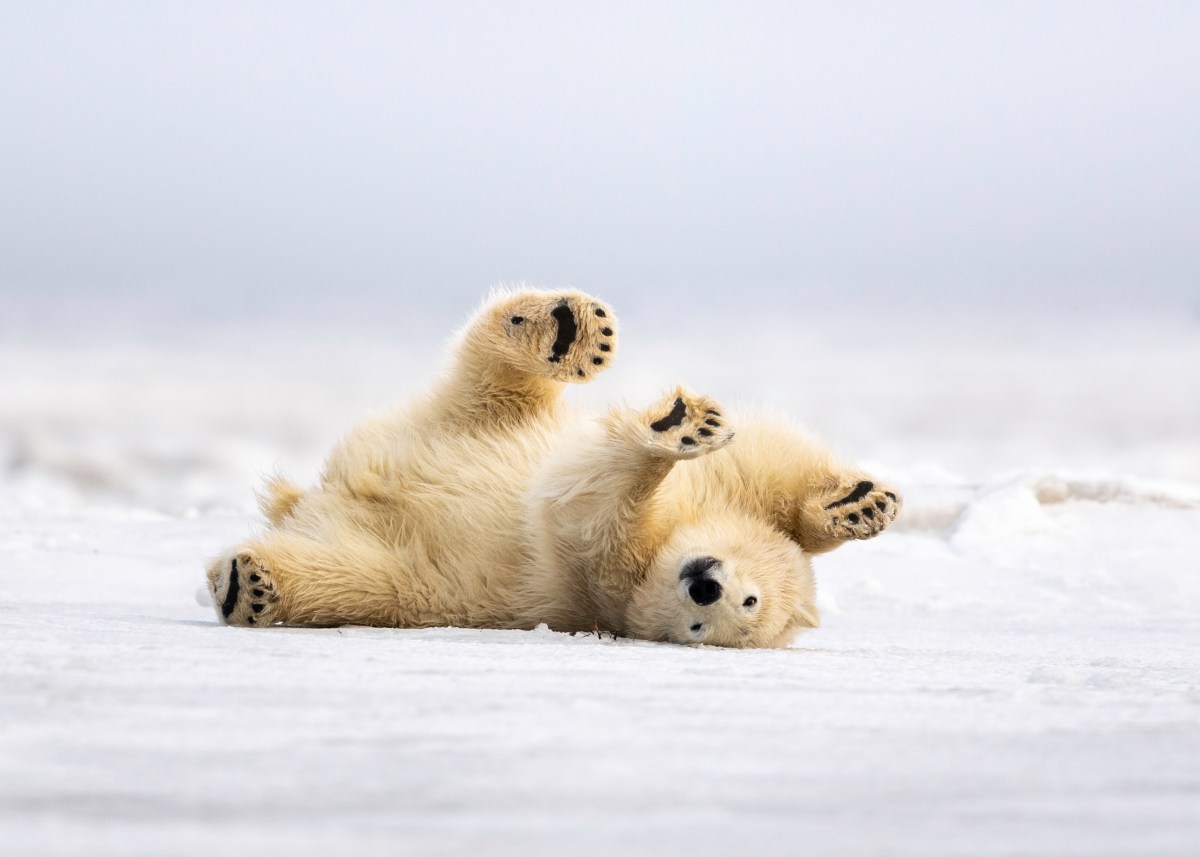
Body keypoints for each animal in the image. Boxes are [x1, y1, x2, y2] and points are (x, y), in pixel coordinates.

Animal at [208, 289, 902, 648]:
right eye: (750, 596)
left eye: (726, 618)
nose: (705, 586)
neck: (676, 536)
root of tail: (321, 492)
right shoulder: (727, 488)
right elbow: (771, 457)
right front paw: (859, 504)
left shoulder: (601, 586)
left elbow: (584, 512)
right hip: (489, 423)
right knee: (497, 379)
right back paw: (567, 331)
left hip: (406, 576)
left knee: (347, 579)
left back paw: (250, 584)